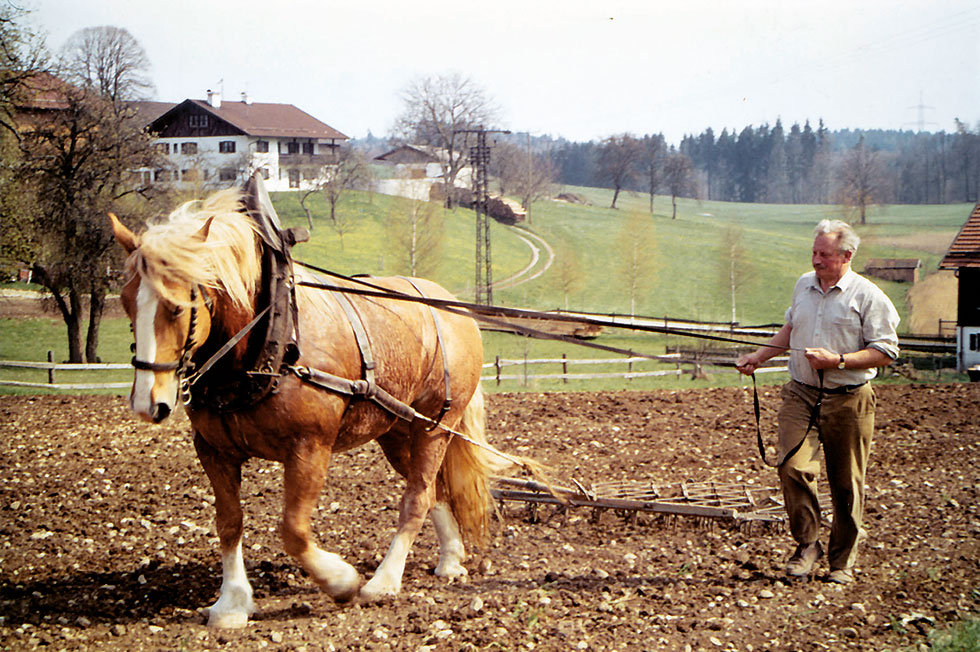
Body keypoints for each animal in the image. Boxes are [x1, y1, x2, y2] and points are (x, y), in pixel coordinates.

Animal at [111, 177, 510, 628]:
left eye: (179, 308)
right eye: (126, 301)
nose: (147, 403)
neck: (272, 335)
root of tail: (453, 307)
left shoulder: (309, 447)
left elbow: (294, 531)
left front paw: (341, 580)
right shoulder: (213, 449)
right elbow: (229, 522)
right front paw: (231, 602)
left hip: (435, 424)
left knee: (417, 496)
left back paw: (383, 581)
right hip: (395, 429)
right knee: (433, 489)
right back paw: (451, 559)